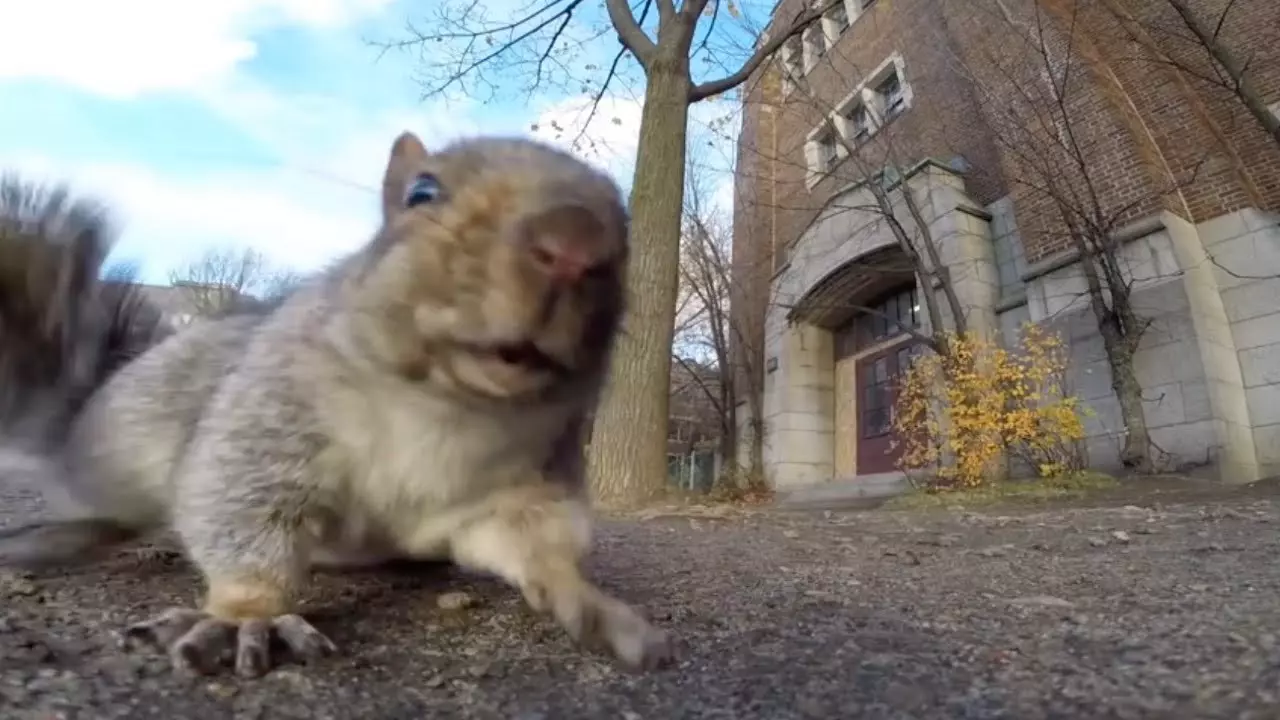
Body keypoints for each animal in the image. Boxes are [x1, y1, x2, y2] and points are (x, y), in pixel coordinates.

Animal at [0, 131, 680, 676]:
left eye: (625, 232)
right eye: (422, 192)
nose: (574, 243)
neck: (451, 410)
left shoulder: (516, 490)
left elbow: (535, 543)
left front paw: (587, 600)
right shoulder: (268, 420)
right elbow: (237, 504)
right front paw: (247, 614)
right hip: (126, 439)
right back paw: (58, 537)